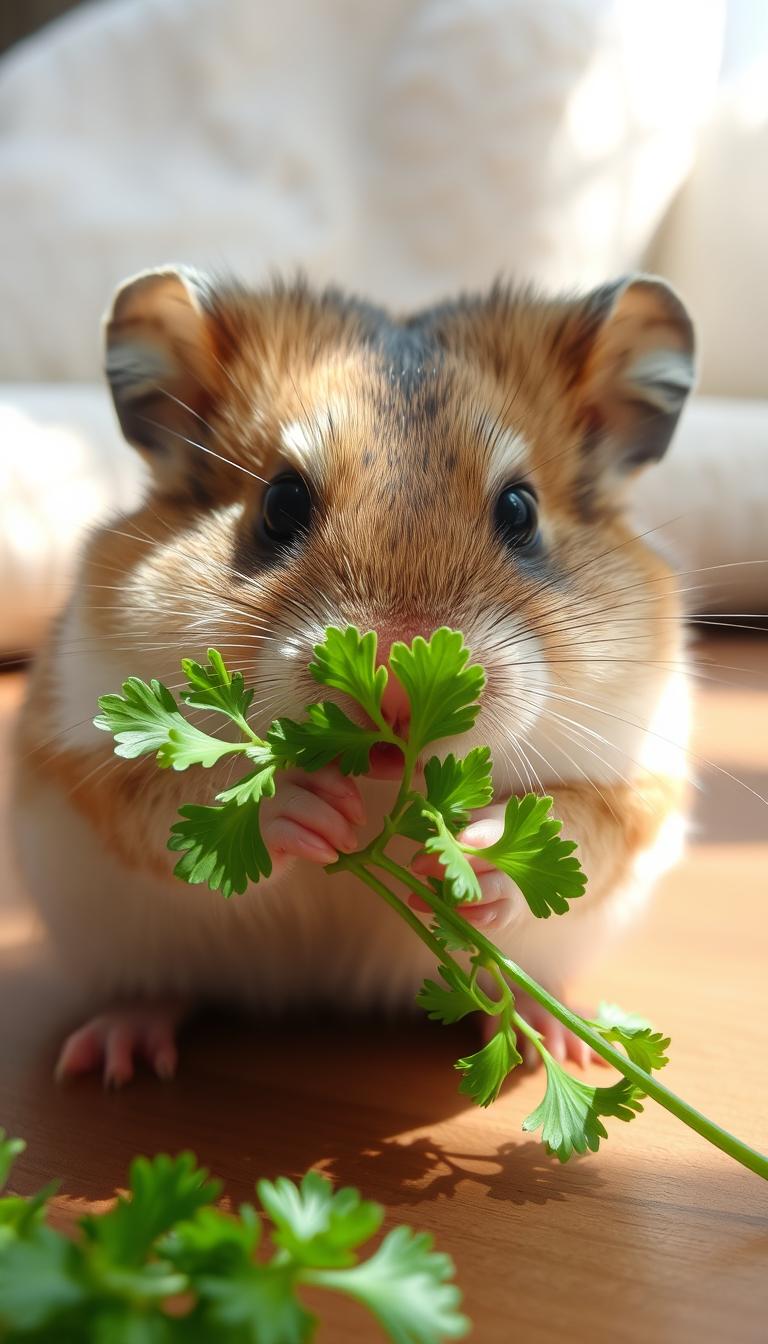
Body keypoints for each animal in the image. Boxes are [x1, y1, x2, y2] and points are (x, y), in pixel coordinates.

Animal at [12, 268, 695, 1085]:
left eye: (521, 511)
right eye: (280, 502)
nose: (396, 690)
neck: (379, 789)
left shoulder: (638, 783)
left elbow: (574, 827)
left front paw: (470, 854)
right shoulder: (87, 755)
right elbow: (186, 795)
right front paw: (310, 811)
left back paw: (557, 1042)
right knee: (155, 986)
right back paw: (112, 1054)